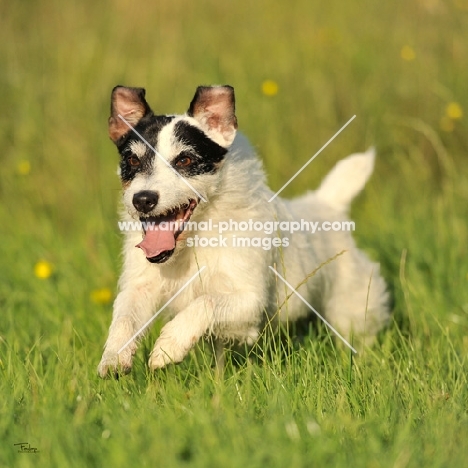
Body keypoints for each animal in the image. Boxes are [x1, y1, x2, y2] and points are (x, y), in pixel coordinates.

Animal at [97, 84, 390, 376]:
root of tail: (327, 203)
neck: (196, 238)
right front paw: (114, 357)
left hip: (353, 309)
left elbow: (205, 303)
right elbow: (124, 317)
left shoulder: (250, 302)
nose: (142, 199)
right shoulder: (140, 287)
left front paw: (168, 346)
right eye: (132, 160)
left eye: (185, 160)